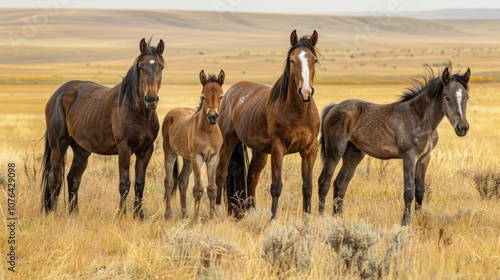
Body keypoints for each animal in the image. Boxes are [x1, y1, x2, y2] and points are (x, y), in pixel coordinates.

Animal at [41, 37, 166, 219]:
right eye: (141, 67)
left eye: (161, 66)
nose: (151, 99)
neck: (138, 113)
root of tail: (57, 94)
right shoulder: (124, 149)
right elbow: (124, 183)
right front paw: (121, 215)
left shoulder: (146, 150)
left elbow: (140, 183)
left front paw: (139, 215)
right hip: (59, 144)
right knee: (54, 178)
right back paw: (53, 214)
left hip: (81, 150)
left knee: (72, 178)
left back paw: (74, 214)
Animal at [163, 69, 226, 221]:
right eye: (203, 96)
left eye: (221, 96)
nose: (212, 116)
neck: (208, 132)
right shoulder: (197, 158)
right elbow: (198, 189)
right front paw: (196, 219)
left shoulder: (213, 158)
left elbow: (212, 188)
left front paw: (212, 218)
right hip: (170, 153)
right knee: (169, 181)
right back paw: (168, 214)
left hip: (187, 159)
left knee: (182, 181)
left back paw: (184, 215)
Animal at [216, 30, 320, 219]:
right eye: (292, 60)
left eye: (314, 60)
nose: (305, 92)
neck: (299, 112)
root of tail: (231, 91)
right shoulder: (278, 148)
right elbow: (276, 186)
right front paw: (272, 218)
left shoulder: (310, 149)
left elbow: (307, 187)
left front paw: (307, 218)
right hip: (228, 142)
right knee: (221, 174)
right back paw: (217, 211)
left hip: (259, 151)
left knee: (251, 177)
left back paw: (251, 211)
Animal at [318, 64, 470, 225]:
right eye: (447, 97)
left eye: (467, 97)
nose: (462, 128)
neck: (420, 118)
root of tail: (334, 107)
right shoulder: (409, 156)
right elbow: (409, 190)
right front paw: (405, 223)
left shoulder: (424, 158)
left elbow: (420, 190)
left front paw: (419, 219)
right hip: (335, 151)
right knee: (324, 182)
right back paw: (321, 218)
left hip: (353, 154)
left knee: (340, 184)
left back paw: (337, 219)